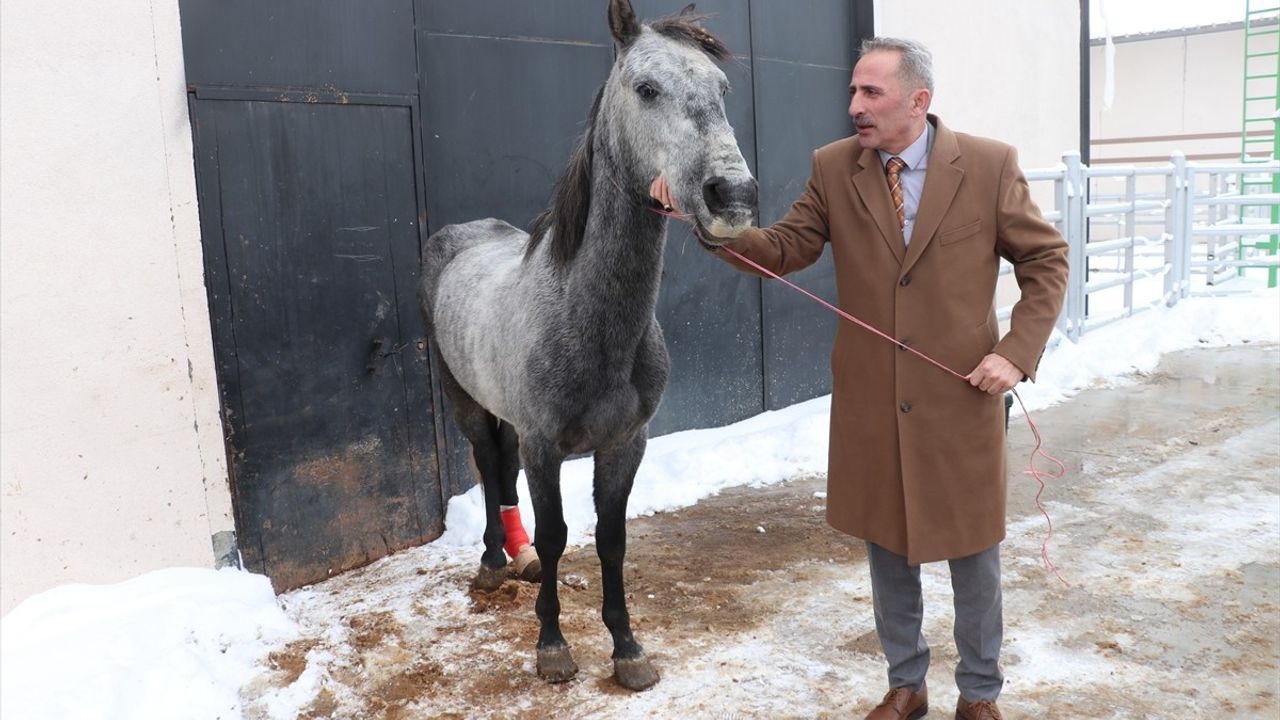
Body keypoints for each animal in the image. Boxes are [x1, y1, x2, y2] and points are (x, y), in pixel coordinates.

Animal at [419, 0, 757, 686]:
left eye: (722, 89)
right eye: (646, 89)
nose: (732, 196)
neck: (586, 316)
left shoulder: (625, 444)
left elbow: (611, 538)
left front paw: (627, 648)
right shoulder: (545, 446)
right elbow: (557, 536)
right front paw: (552, 645)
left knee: (501, 469)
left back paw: (512, 558)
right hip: (466, 401)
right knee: (488, 464)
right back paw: (493, 563)